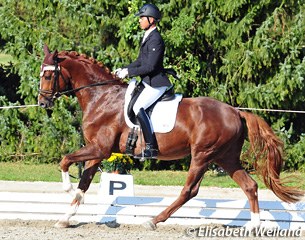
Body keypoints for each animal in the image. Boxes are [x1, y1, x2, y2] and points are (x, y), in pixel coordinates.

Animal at [38, 45, 302, 231]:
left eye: (48, 76)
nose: (42, 102)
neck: (101, 96)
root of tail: (236, 111)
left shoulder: (100, 148)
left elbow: (65, 160)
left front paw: (66, 188)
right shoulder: (97, 150)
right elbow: (84, 182)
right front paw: (65, 218)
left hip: (203, 155)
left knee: (189, 191)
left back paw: (153, 221)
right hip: (225, 157)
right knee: (250, 185)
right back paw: (254, 225)